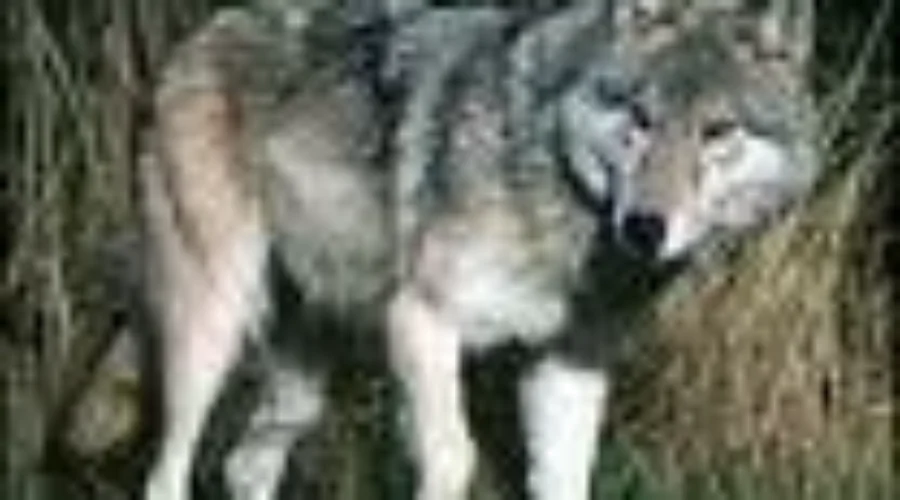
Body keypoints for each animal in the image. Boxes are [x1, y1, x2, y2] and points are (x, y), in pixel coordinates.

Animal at [140, 1, 816, 499]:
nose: (644, 227)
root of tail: (203, 30)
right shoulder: (420, 322)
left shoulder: (568, 365)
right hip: (213, 329)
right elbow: (455, 457)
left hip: (301, 390)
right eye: (640, 117)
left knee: (245, 465)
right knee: (166, 472)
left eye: (718, 131)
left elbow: (567, 479)